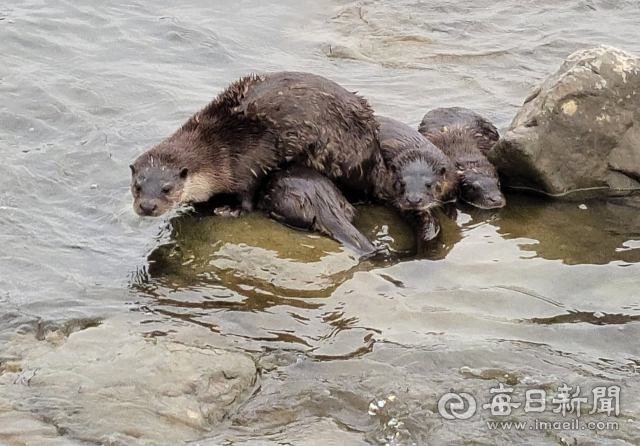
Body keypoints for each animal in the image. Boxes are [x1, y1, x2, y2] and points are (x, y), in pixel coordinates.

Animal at [130, 72, 384, 218]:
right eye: (137, 186)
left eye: (167, 188)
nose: (147, 207)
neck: (219, 148)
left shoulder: (248, 162)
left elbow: (248, 194)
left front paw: (231, 210)